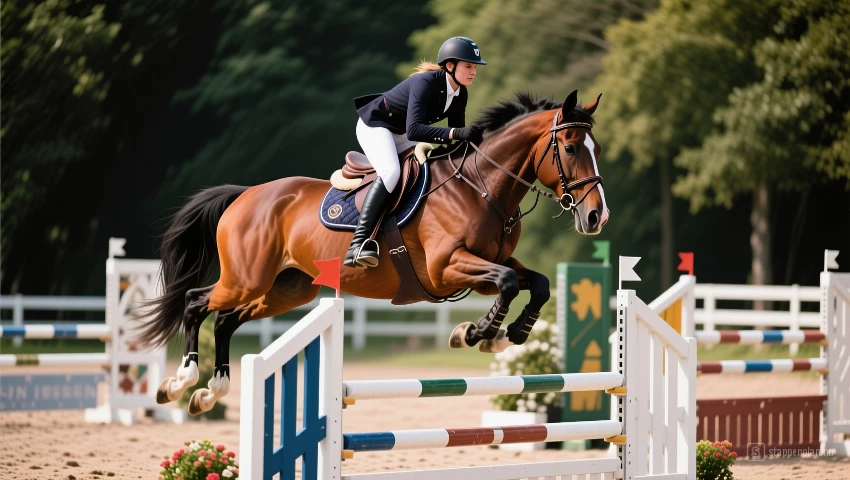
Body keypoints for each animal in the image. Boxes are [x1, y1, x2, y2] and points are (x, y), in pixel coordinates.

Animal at [138, 90, 609, 415]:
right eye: (570, 148)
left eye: (597, 149)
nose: (595, 217)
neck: (480, 186)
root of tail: (246, 194)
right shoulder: (446, 268)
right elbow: (509, 283)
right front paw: (476, 333)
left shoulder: (493, 262)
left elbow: (537, 283)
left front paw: (509, 334)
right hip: (245, 278)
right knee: (196, 302)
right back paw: (180, 382)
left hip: (287, 289)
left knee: (227, 320)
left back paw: (210, 391)